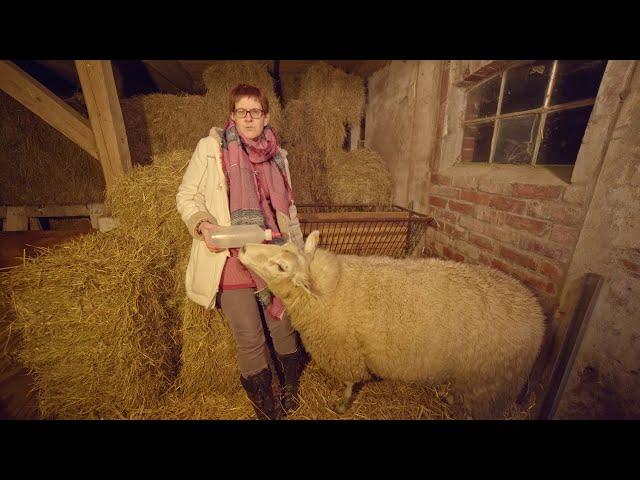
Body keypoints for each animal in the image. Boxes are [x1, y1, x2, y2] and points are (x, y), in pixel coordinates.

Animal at [238, 231, 548, 418]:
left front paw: (341, 404)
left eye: (281, 267)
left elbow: (350, 382)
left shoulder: (346, 351)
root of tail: (536, 313)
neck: (333, 289)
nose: (241, 247)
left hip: (490, 384)